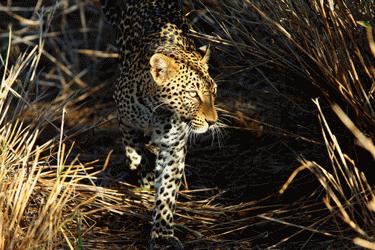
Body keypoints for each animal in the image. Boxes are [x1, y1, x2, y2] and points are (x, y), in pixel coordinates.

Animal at [100, 0, 219, 249]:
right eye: (192, 94)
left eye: (213, 92)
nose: (213, 122)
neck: (157, 110)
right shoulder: (125, 120)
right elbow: (134, 155)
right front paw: (145, 176)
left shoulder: (174, 146)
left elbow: (167, 189)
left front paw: (162, 233)